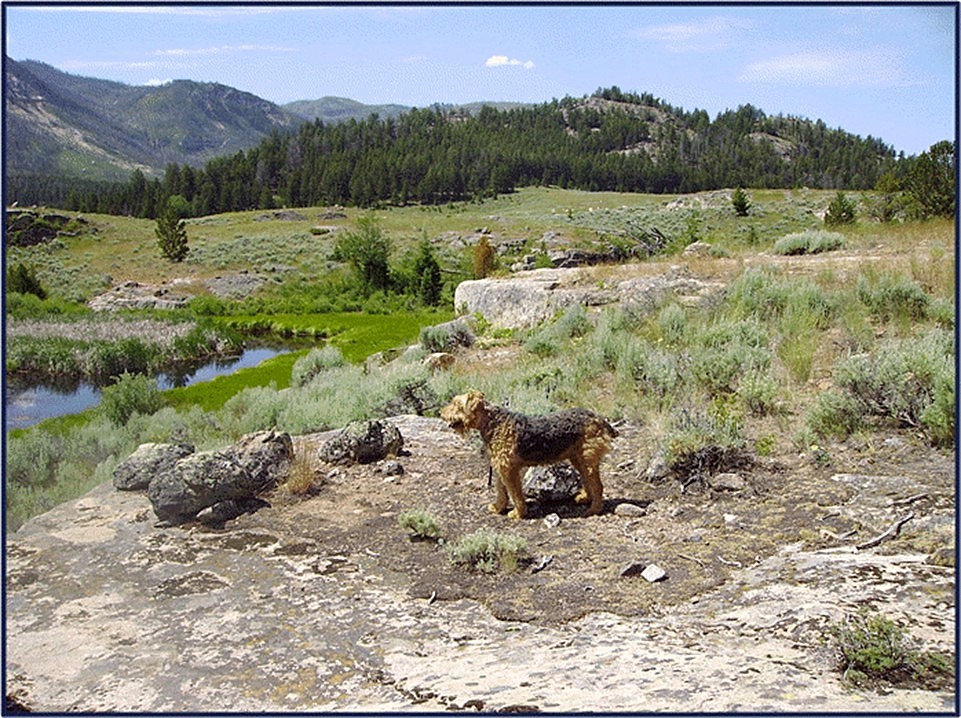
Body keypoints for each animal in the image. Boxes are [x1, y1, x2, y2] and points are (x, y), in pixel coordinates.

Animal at [440, 390, 620, 520]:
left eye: (457, 403)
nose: (441, 413)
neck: (492, 423)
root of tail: (598, 418)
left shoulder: (508, 470)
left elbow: (515, 494)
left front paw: (518, 513)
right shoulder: (500, 468)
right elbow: (501, 492)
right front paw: (497, 508)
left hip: (587, 459)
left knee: (598, 486)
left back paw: (593, 510)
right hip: (578, 458)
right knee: (588, 482)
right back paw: (584, 498)